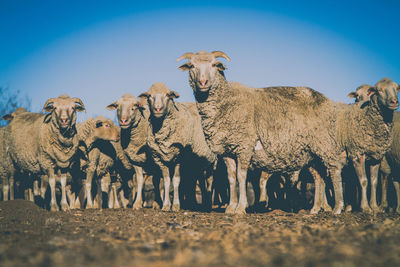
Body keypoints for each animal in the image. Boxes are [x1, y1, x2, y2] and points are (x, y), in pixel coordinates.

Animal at [139, 82, 217, 213]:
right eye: (149, 96)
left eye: (167, 95)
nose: (158, 109)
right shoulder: (160, 159)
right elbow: (166, 182)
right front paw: (166, 205)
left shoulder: (179, 158)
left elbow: (176, 181)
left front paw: (175, 205)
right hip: (197, 163)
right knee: (200, 181)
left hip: (211, 160)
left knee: (210, 181)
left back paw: (208, 205)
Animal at [177, 51, 396, 217]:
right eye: (192, 66)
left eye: (215, 65)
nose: (203, 82)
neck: (226, 100)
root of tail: (327, 101)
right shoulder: (227, 151)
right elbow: (231, 178)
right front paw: (230, 207)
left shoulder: (244, 146)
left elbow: (241, 176)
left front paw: (240, 207)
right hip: (311, 152)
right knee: (319, 178)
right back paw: (315, 209)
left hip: (324, 144)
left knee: (334, 171)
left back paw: (338, 207)